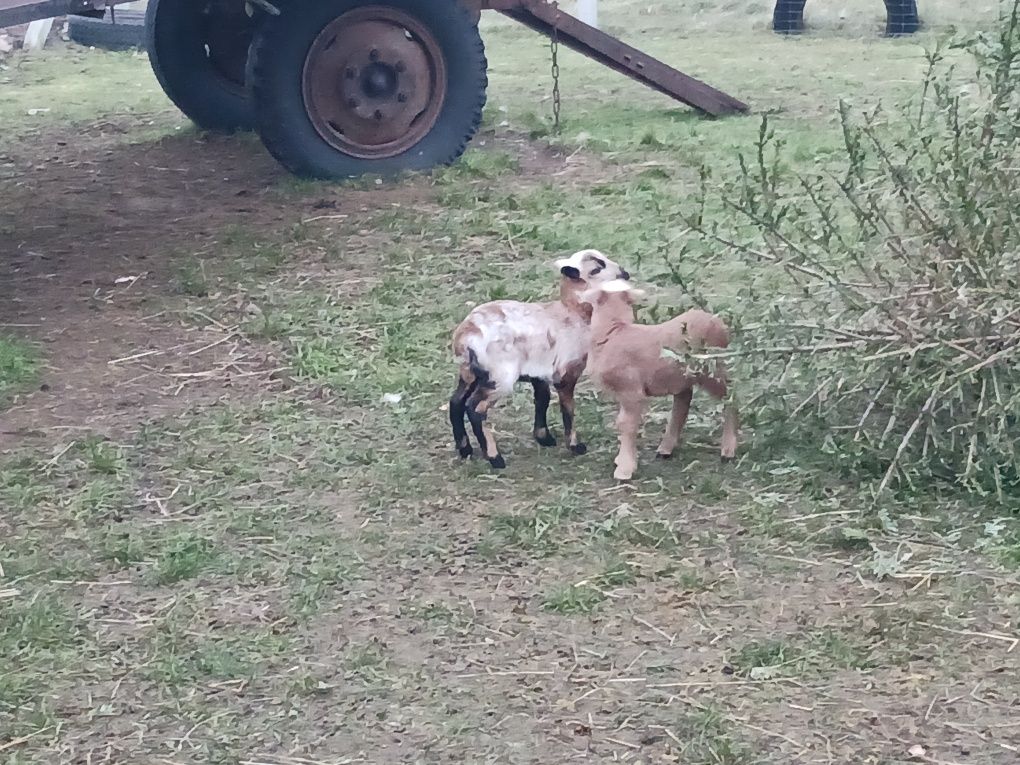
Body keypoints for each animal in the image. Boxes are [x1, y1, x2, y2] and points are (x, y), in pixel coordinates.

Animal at [579, 279, 738, 481]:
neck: (613, 331)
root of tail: (718, 322)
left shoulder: (631, 390)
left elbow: (625, 424)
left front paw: (625, 469)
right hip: (683, 375)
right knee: (683, 401)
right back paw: (666, 448)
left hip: (712, 368)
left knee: (729, 395)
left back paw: (728, 449)